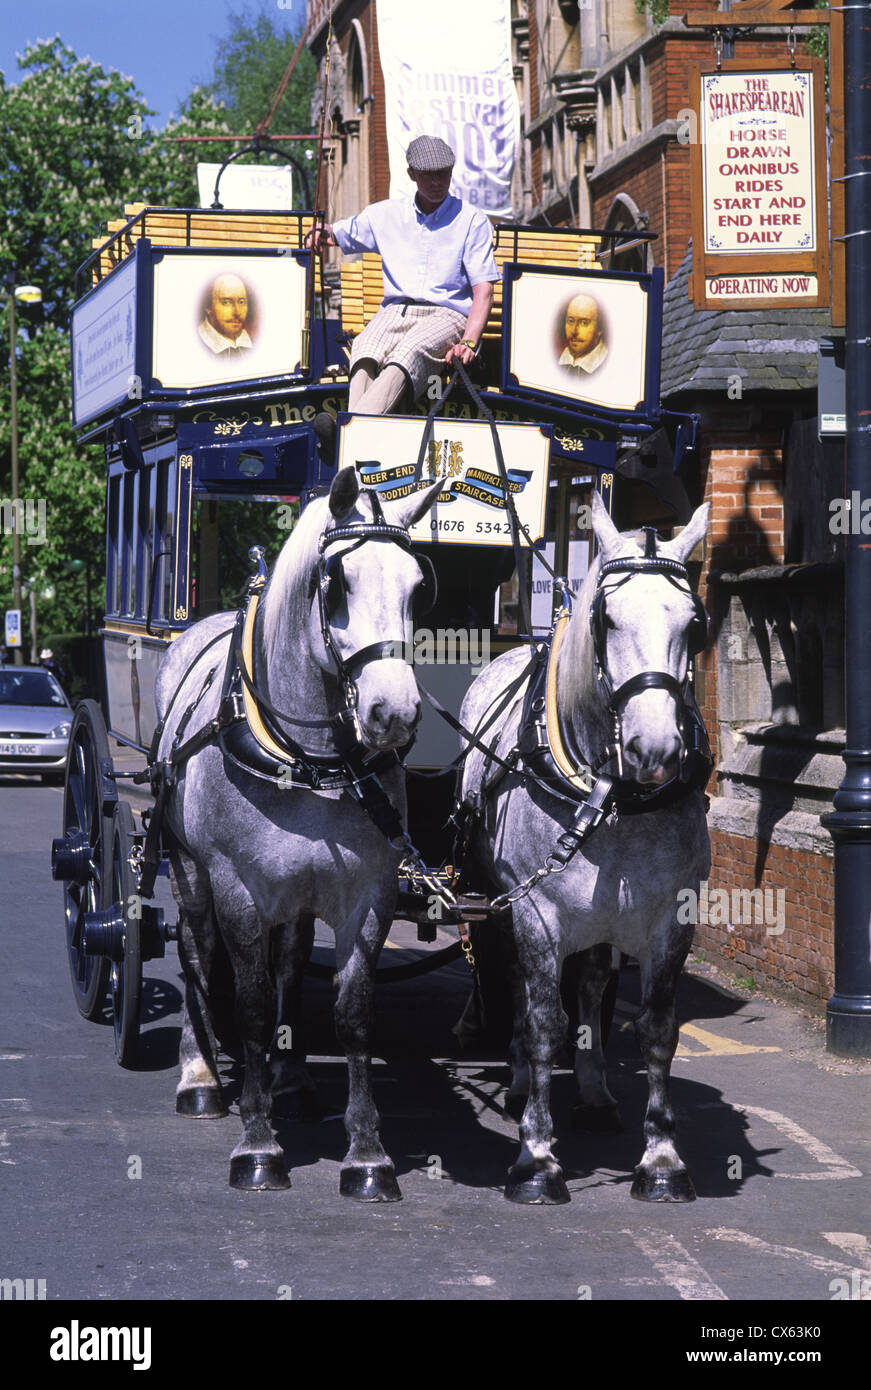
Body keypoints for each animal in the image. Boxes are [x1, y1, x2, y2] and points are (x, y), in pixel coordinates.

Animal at [153, 467, 441, 1195]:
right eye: (336, 584)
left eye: (417, 586)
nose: (393, 712)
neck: (308, 759)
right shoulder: (237, 888)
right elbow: (253, 1006)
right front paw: (257, 1146)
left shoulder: (368, 893)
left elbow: (352, 1012)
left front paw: (367, 1155)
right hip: (190, 869)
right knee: (195, 949)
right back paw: (200, 1075)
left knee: (287, 962)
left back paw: (287, 1080)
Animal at [461, 497, 711, 1206]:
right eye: (606, 618)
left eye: (695, 624)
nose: (656, 749)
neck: (614, 800)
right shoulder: (535, 914)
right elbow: (545, 1020)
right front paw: (537, 1157)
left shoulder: (671, 921)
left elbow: (657, 1030)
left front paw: (662, 1159)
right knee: (522, 988)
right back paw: (521, 1079)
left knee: (595, 982)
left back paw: (596, 1092)